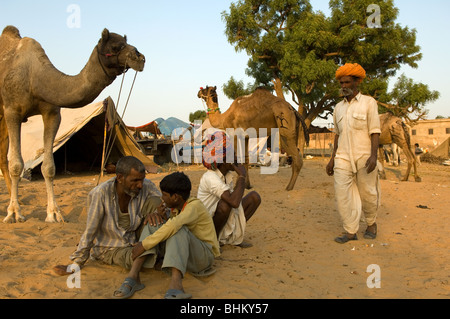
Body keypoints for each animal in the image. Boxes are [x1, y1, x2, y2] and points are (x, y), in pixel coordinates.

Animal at [0, 26, 146, 224]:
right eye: (116, 46)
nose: (140, 58)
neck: (35, 77)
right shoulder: (12, 110)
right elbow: (16, 164)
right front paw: (14, 213)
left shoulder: (52, 113)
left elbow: (49, 167)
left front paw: (54, 214)